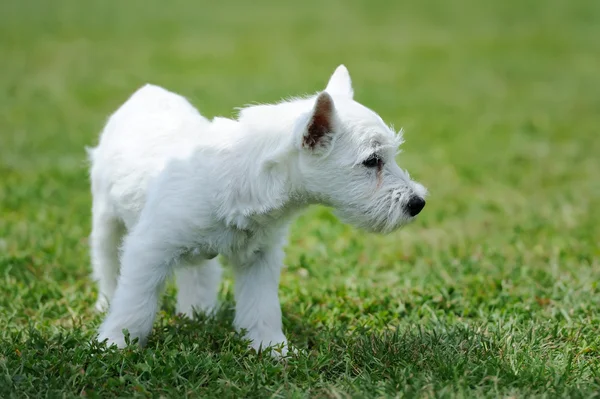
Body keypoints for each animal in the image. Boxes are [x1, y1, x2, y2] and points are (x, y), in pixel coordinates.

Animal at [89, 65, 426, 356]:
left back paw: (197, 313)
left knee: (198, 273)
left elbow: (262, 307)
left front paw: (272, 348)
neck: (246, 177)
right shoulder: (150, 249)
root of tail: (145, 94)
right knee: (108, 265)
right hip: (106, 221)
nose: (417, 203)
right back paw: (106, 302)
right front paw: (116, 342)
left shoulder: (259, 259)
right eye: (372, 161)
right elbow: (135, 303)